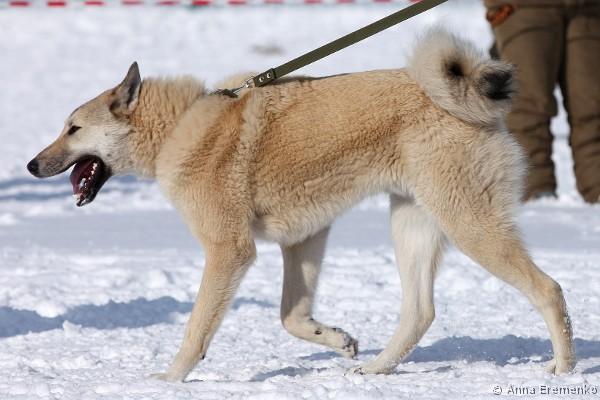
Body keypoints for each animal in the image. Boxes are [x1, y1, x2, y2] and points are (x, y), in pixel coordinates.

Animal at [27, 29, 575, 381]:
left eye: (73, 128)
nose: (31, 165)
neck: (179, 127)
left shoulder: (230, 250)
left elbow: (197, 329)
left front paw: (168, 381)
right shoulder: (304, 239)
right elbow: (291, 317)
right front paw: (338, 338)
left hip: (469, 223)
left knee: (549, 289)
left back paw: (565, 368)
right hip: (413, 222)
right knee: (421, 310)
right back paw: (376, 368)